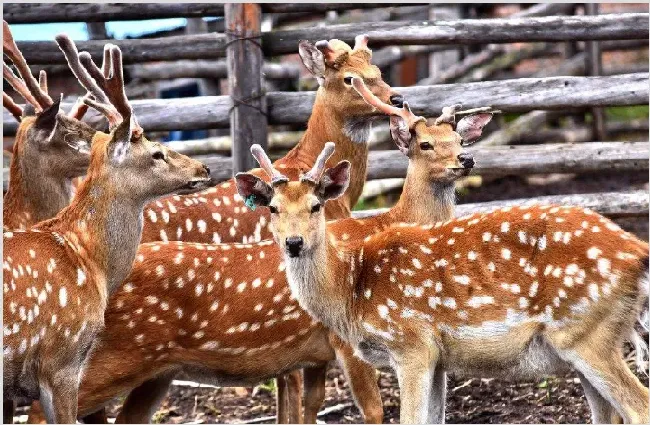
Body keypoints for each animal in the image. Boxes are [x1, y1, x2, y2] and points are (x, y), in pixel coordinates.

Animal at [39, 85, 496, 420]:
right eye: (424, 144)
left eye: (459, 137)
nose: (466, 159)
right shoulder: (345, 341)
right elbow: (374, 411)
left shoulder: (314, 355)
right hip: (95, 360)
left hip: (155, 373)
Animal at [237, 143, 648, 424]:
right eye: (272, 207)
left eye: (316, 205)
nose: (293, 243)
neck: (351, 289)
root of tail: (637, 250)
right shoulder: (437, 358)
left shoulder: (411, 344)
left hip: (586, 333)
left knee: (638, 406)